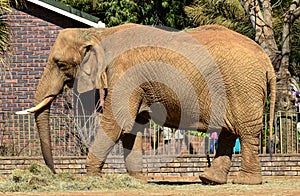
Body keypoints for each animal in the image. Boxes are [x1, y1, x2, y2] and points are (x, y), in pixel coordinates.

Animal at [16, 23, 276, 185]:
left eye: (60, 64)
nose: (54, 173)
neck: (97, 34)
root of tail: (267, 61)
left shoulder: (126, 73)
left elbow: (116, 123)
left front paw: (90, 178)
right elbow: (134, 127)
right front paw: (137, 180)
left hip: (243, 85)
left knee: (245, 132)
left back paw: (245, 181)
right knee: (229, 131)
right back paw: (210, 180)